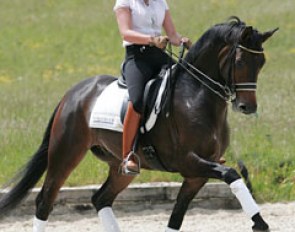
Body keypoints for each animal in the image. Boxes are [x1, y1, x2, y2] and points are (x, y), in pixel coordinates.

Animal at [0, 17, 278, 231]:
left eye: (262, 62)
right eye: (240, 61)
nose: (248, 107)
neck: (197, 97)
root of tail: (74, 93)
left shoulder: (195, 175)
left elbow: (176, 218)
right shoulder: (189, 161)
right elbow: (232, 174)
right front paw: (259, 222)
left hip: (120, 166)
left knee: (100, 198)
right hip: (65, 153)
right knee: (45, 200)